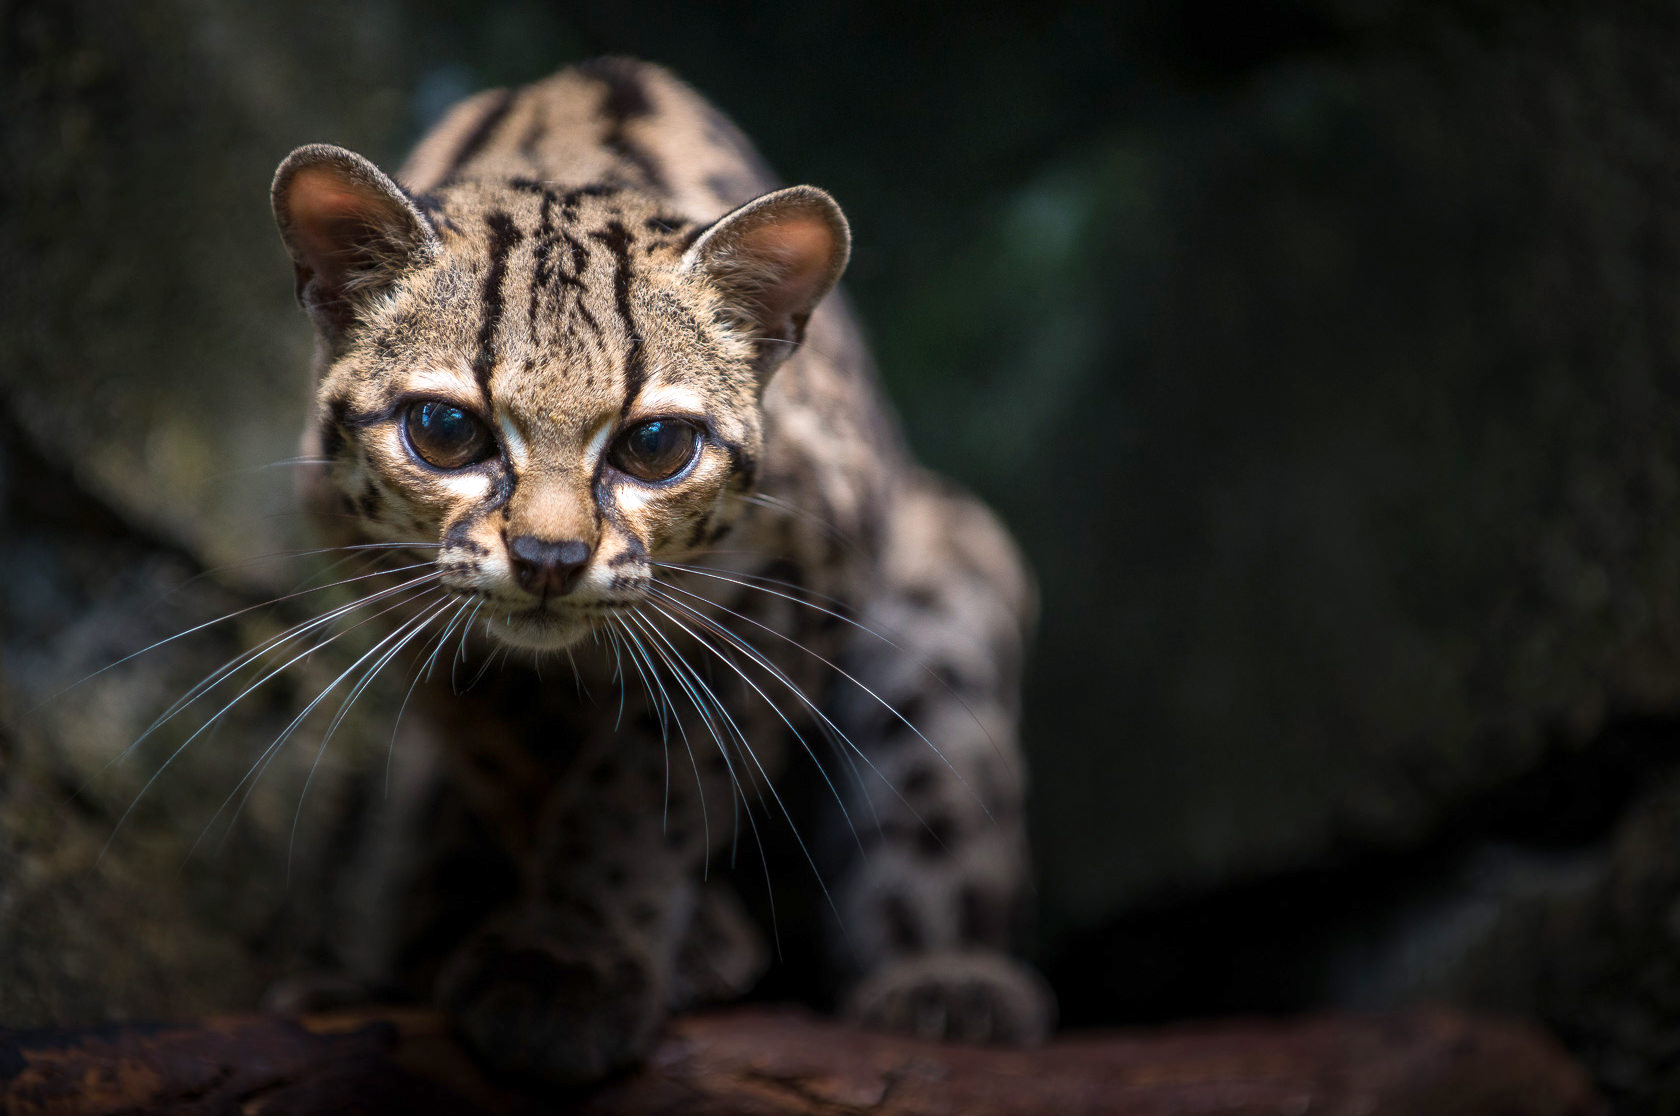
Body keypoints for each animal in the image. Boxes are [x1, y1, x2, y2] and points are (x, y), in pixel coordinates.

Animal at [262, 58, 1048, 1082]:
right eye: (443, 430)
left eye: (657, 446)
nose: (549, 559)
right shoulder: (399, 596)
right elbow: (516, 756)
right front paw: (609, 946)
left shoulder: (796, 587)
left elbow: (657, 780)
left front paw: (576, 961)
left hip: (945, 581)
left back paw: (946, 979)